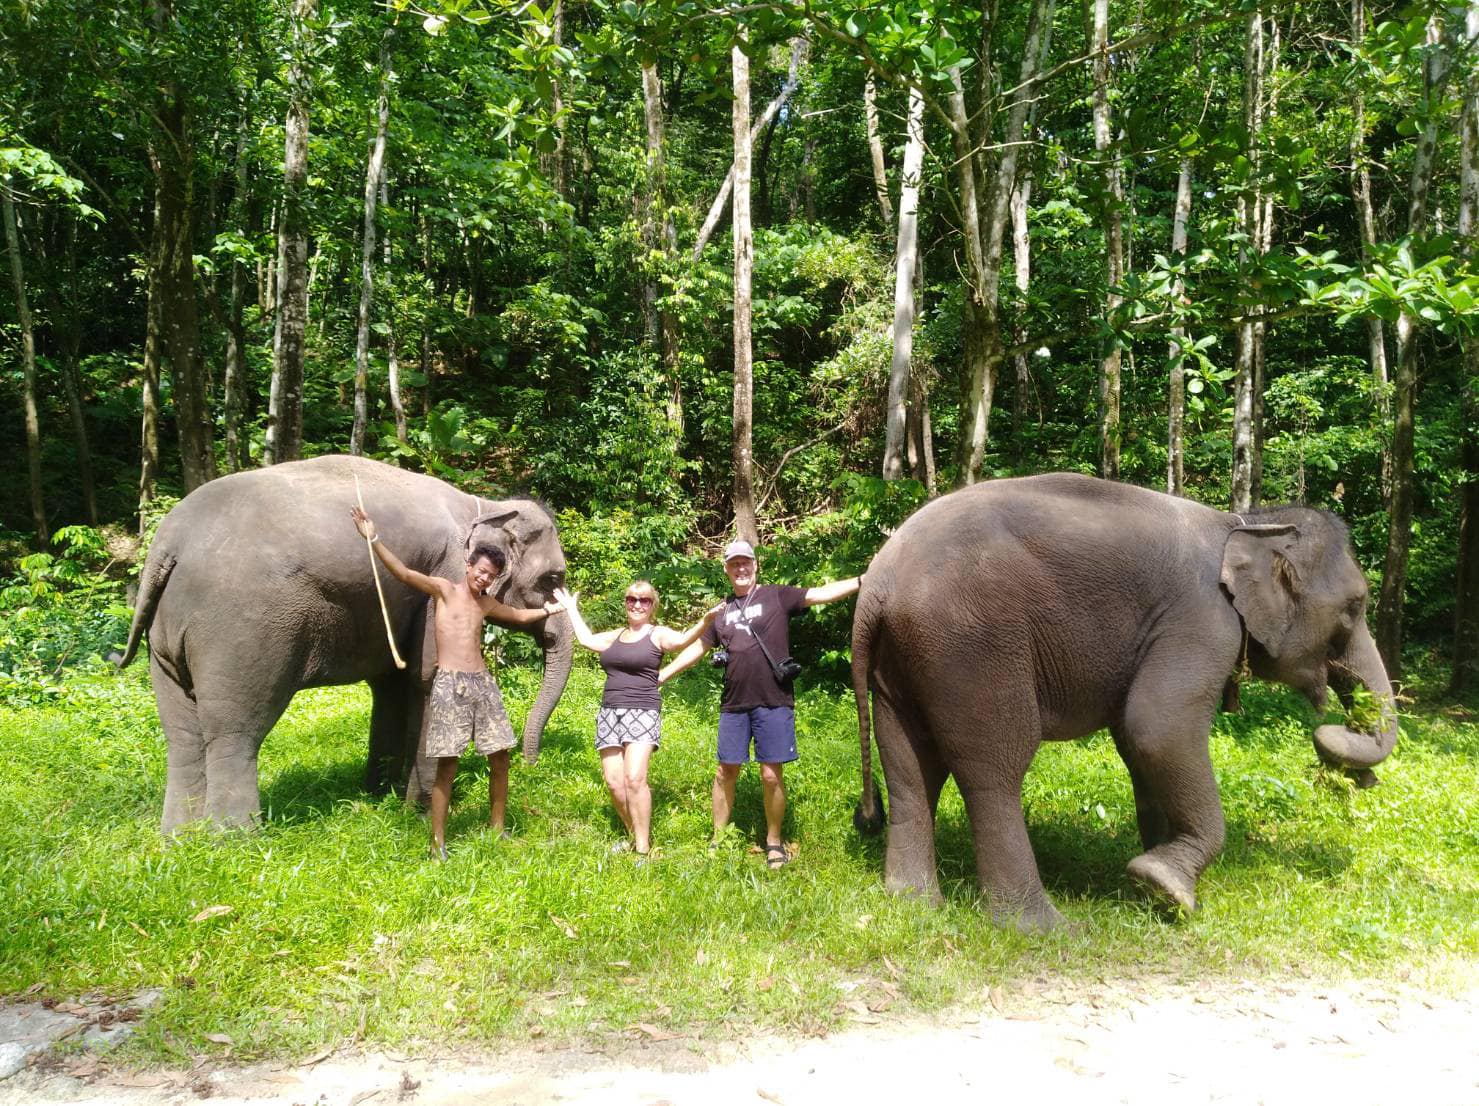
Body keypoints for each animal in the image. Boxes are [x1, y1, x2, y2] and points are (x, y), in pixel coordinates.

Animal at [111, 455, 572, 833]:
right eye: (552, 579)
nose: (533, 762)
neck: (482, 504)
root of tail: (166, 546)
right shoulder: (443, 576)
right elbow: (425, 678)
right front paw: (416, 812)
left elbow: (392, 686)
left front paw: (380, 795)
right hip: (238, 631)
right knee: (233, 732)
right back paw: (236, 841)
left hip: (165, 635)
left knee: (181, 733)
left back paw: (180, 839)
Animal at [850, 473, 1398, 931]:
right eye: (1355, 607)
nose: (1338, 743)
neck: (1248, 524)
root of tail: (877, 585)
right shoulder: (1203, 621)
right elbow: (1158, 729)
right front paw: (1167, 889)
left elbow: (1139, 748)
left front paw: (1149, 883)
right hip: (973, 644)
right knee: (995, 769)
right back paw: (1044, 929)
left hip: (903, 659)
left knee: (909, 767)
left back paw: (913, 905)